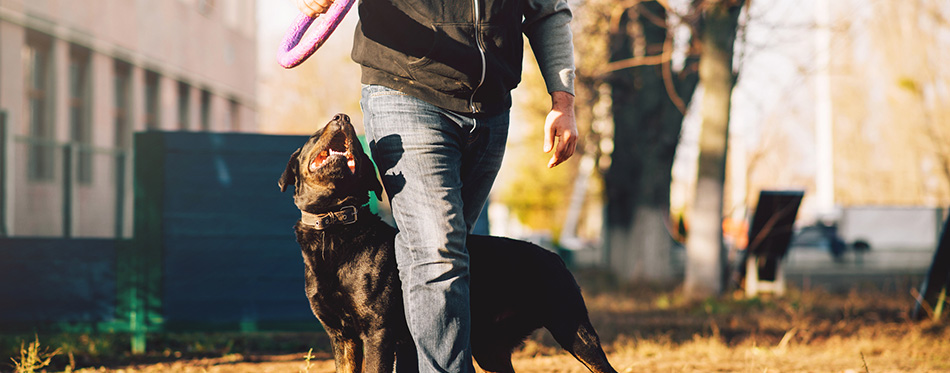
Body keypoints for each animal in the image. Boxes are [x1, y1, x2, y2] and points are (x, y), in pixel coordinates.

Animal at [278, 113, 616, 372]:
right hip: (490, 348)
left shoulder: (378, 332)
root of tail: (555, 255)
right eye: (314, 136)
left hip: (572, 327)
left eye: (359, 150)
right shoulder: (342, 337)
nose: (342, 117)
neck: (334, 224)